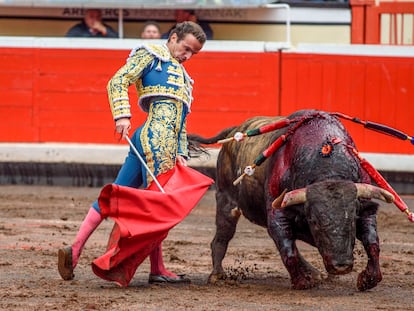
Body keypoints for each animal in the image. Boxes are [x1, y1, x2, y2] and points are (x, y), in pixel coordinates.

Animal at [189, 110, 396, 292]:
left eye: (352, 219)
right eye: (314, 221)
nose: (341, 266)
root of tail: (234, 131)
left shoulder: (365, 210)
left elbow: (372, 242)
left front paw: (368, 279)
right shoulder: (278, 213)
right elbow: (288, 250)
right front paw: (302, 282)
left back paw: (316, 273)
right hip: (226, 200)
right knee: (222, 236)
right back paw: (217, 275)